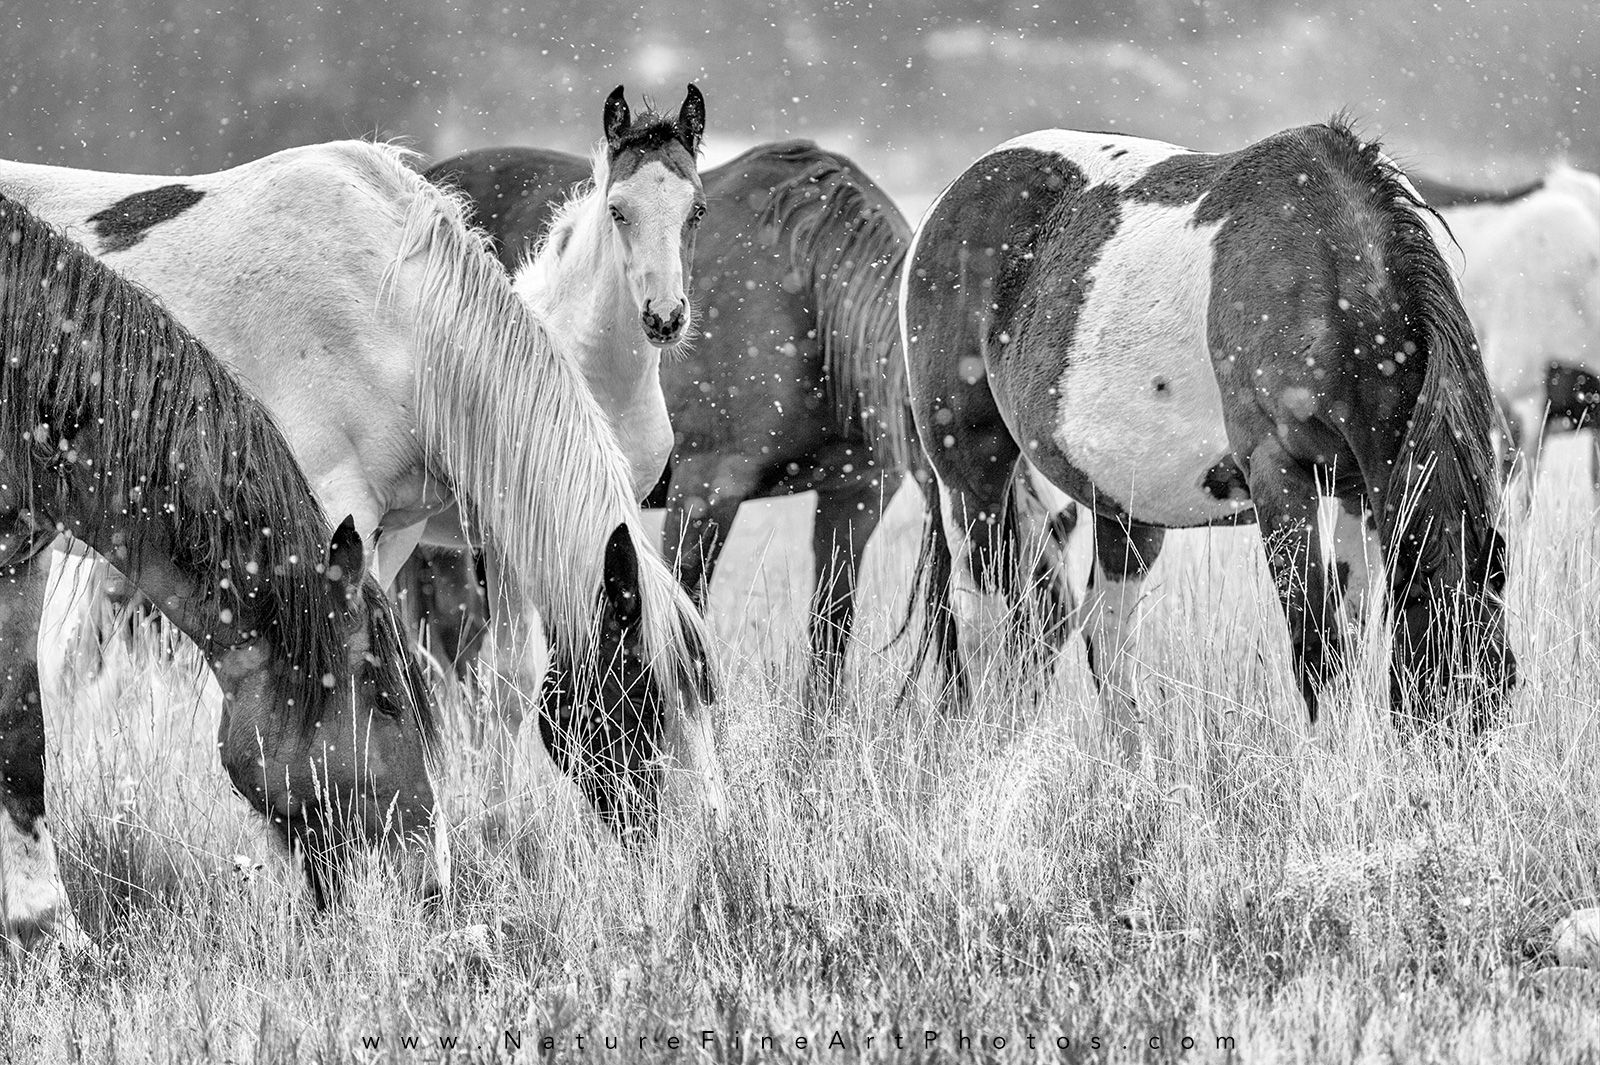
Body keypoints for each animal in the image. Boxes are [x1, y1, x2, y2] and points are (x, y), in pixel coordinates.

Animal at [908, 115, 1516, 751]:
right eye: (1435, 676)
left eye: (1503, 683)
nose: (1461, 765)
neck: (1324, 273)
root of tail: (953, 196)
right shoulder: (1280, 479)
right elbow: (1316, 643)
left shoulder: (1358, 491)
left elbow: (1346, 638)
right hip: (969, 479)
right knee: (980, 623)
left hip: (1125, 506)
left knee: (1105, 631)